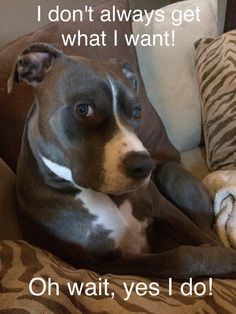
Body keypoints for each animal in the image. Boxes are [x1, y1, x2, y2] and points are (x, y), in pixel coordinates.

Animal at [8, 42, 235, 280]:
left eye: (136, 112)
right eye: (83, 109)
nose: (144, 166)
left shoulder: (167, 210)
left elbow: (199, 236)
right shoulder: (104, 264)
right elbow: (181, 257)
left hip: (170, 172)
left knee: (207, 229)